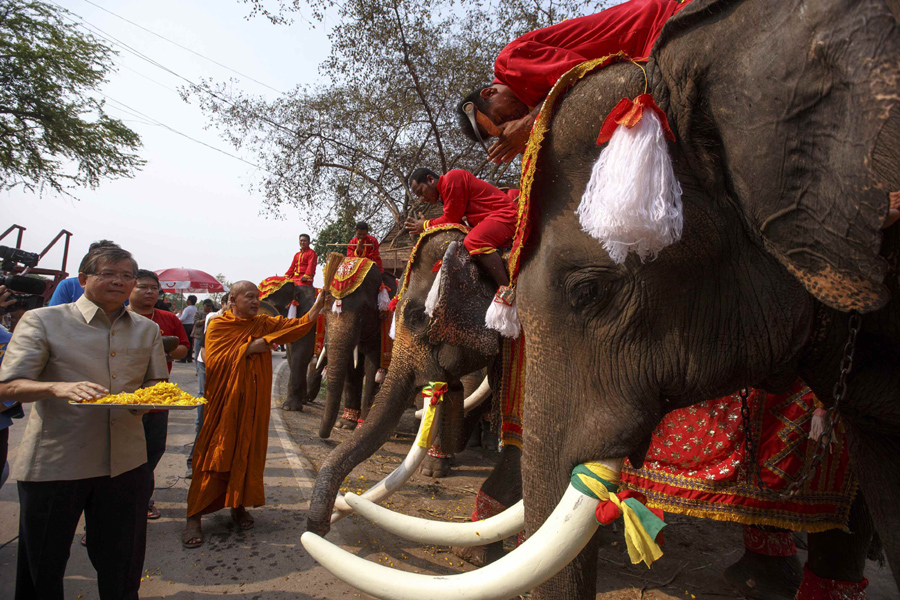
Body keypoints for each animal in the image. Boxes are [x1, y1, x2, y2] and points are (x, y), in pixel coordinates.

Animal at [320, 262, 398, 436]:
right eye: (326, 306)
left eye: (363, 310)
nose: (324, 436)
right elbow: (352, 369)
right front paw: (345, 425)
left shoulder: (380, 334)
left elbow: (373, 368)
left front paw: (361, 427)